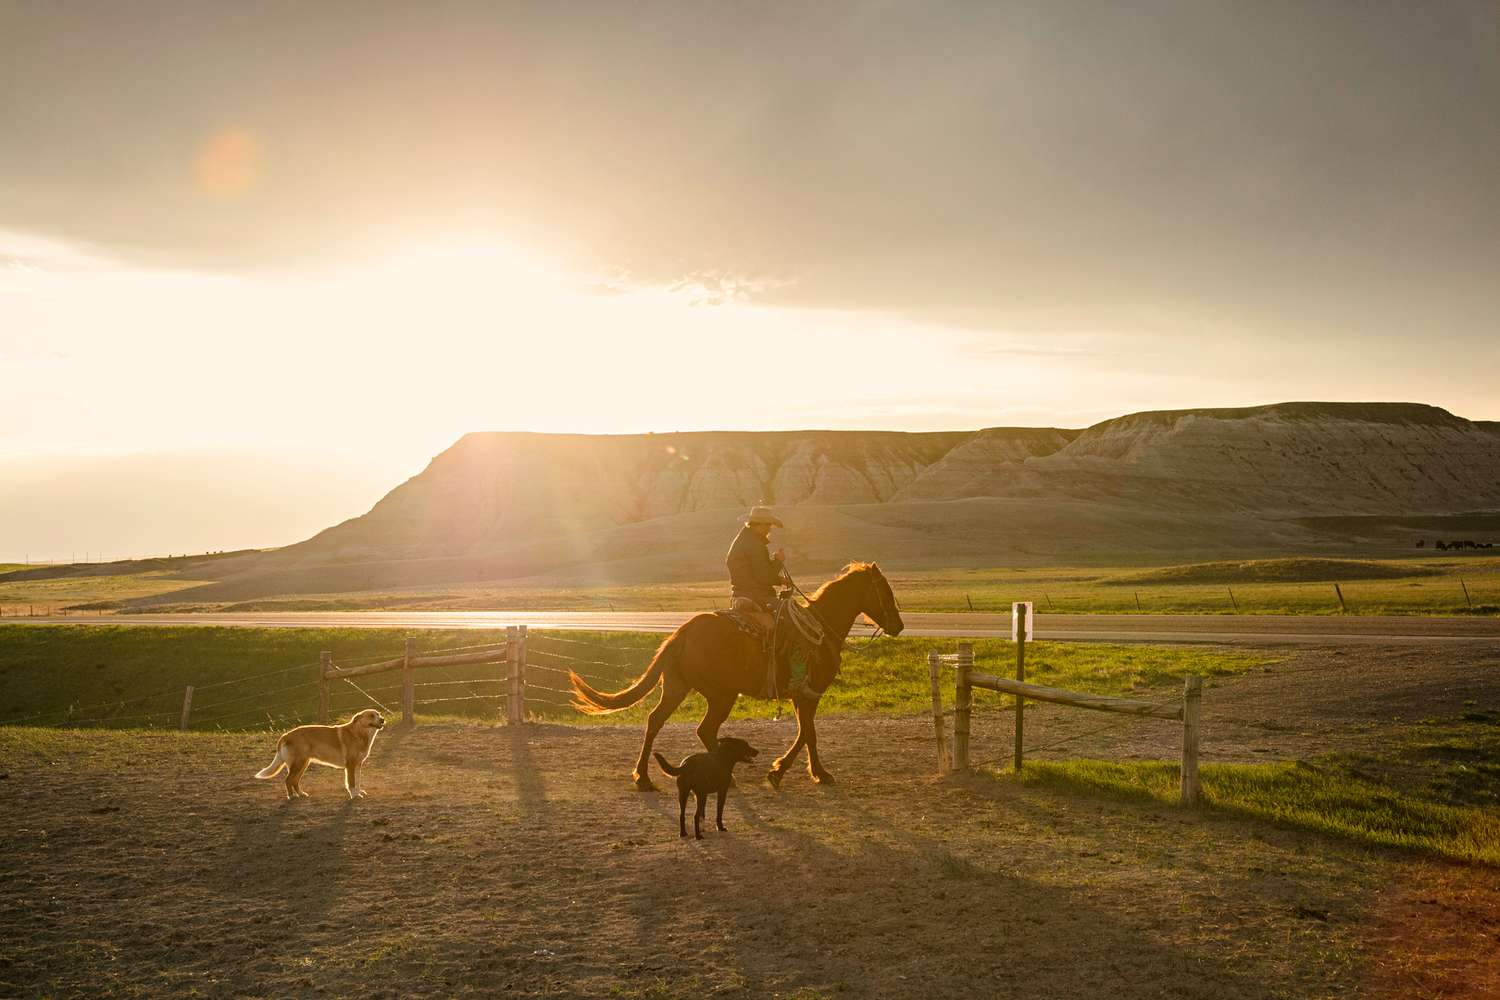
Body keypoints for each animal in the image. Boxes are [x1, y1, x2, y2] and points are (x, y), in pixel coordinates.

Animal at [252, 707, 384, 803]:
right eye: (371, 715)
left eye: (379, 714)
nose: (382, 719)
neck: (359, 733)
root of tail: (285, 735)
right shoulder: (350, 765)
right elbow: (351, 783)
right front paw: (354, 795)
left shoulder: (358, 764)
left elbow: (358, 781)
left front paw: (359, 792)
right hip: (298, 764)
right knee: (288, 780)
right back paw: (292, 797)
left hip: (303, 764)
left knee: (294, 781)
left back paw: (301, 794)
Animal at [567, 563, 900, 791]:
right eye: (885, 591)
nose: (898, 625)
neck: (820, 630)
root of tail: (681, 633)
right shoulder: (809, 693)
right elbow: (808, 733)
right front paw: (788, 772)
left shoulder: (801, 696)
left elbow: (807, 733)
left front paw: (804, 772)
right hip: (721, 695)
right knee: (704, 729)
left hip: (677, 687)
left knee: (655, 721)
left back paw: (644, 778)